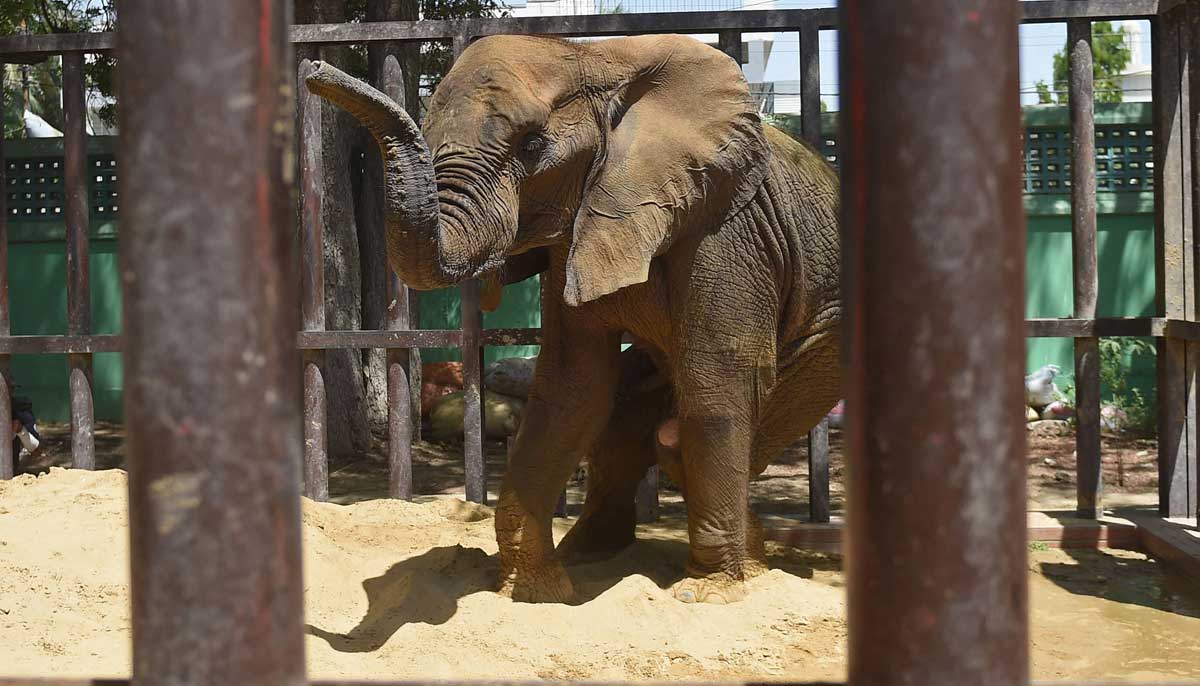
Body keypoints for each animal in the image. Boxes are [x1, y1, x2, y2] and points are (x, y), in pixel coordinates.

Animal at [304, 32, 840, 602]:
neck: (599, 57)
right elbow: (572, 387)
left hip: (827, 344)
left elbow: (717, 379)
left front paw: (707, 593)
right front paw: (536, 590)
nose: (314, 69)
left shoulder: (729, 229)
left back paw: (740, 557)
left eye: (532, 146)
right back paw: (595, 552)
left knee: (685, 433)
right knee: (623, 421)